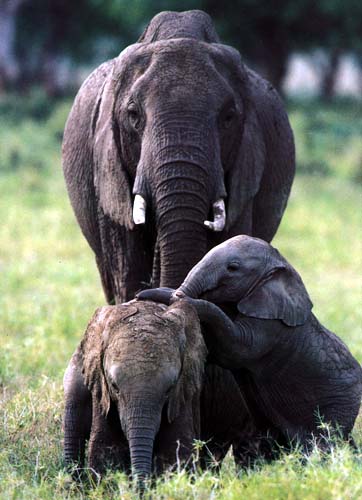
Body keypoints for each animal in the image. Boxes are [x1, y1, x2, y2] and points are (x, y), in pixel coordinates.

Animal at [63, 298, 247, 482]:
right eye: (114, 386)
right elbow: (106, 452)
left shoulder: (185, 392)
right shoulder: (101, 390)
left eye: (169, 389)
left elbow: (174, 453)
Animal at [138, 234, 362, 454]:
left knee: (325, 442)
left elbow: (234, 349)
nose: (177, 294)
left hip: (337, 405)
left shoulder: (271, 326)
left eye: (233, 267)